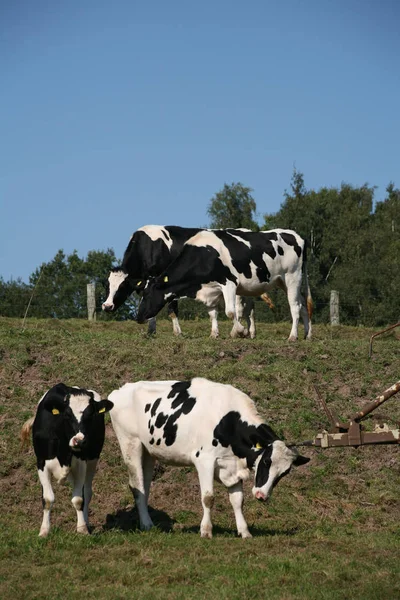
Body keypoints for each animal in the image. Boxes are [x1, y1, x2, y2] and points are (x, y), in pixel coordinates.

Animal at [21, 384, 113, 540]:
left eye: (90, 416)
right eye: (67, 415)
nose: (79, 441)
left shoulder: (81, 463)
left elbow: (78, 499)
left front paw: (82, 529)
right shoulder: (41, 462)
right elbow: (47, 499)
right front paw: (44, 531)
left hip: (93, 459)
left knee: (87, 492)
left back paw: (86, 522)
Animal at [101, 224, 270, 338]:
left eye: (122, 286)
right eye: (107, 286)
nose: (107, 306)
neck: (149, 247)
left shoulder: (167, 283)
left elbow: (170, 309)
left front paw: (176, 332)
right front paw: (151, 331)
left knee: (241, 306)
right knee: (250, 306)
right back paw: (251, 332)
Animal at [109, 378, 310, 536]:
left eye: (284, 473)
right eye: (267, 461)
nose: (262, 495)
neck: (229, 421)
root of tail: (119, 390)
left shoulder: (232, 465)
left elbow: (238, 500)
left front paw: (244, 531)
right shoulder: (204, 460)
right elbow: (208, 497)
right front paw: (206, 531)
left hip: (149, 452)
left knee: (145, 486)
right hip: (131, 443)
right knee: (136, 486)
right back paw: (146, 524)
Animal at [138, 227, 312, 340]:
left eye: (147, 295)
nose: (138, 317)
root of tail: (297, 235)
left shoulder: (229, 283)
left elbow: (230, 312)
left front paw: (240, 332)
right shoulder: (210, 290)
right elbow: (212, 313)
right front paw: (214, 334)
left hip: (292, 277)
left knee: (295, 306)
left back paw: (293, 336)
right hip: (282, 282)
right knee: (303, 305)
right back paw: (307, 334)